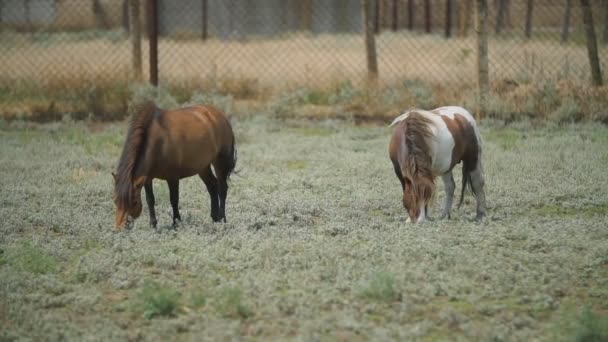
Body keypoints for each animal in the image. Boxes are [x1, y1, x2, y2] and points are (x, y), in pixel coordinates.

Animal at [113, 101, 236, 230]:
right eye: (115, 200)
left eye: (134, 202)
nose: (119, 228)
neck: (158, 141)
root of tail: (221, 115)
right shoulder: (147, 178)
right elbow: (150, 199)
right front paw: (153, 224)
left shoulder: (172, 177)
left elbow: (174, 199)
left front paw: (176, 222)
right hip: (203, 166)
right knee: (212, 186)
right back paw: (214, 218)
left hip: (219, 162)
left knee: (222, 188)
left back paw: (222, 219)